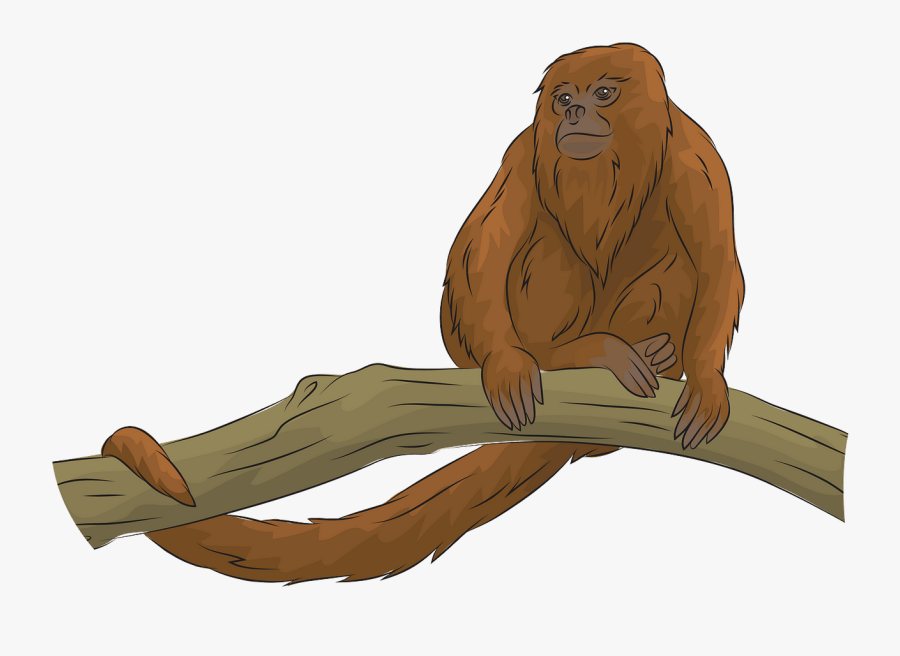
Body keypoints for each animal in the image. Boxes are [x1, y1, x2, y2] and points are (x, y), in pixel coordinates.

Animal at [99, 43, 744, 583]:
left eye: (604, 94)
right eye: (564, 99)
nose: (575, 115)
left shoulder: (695, 157)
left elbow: (718, 266)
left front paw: (708, 379)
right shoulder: (526, 150)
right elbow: (476, 256)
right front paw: (508, 362)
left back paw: (652, 358)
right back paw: (577, 354)